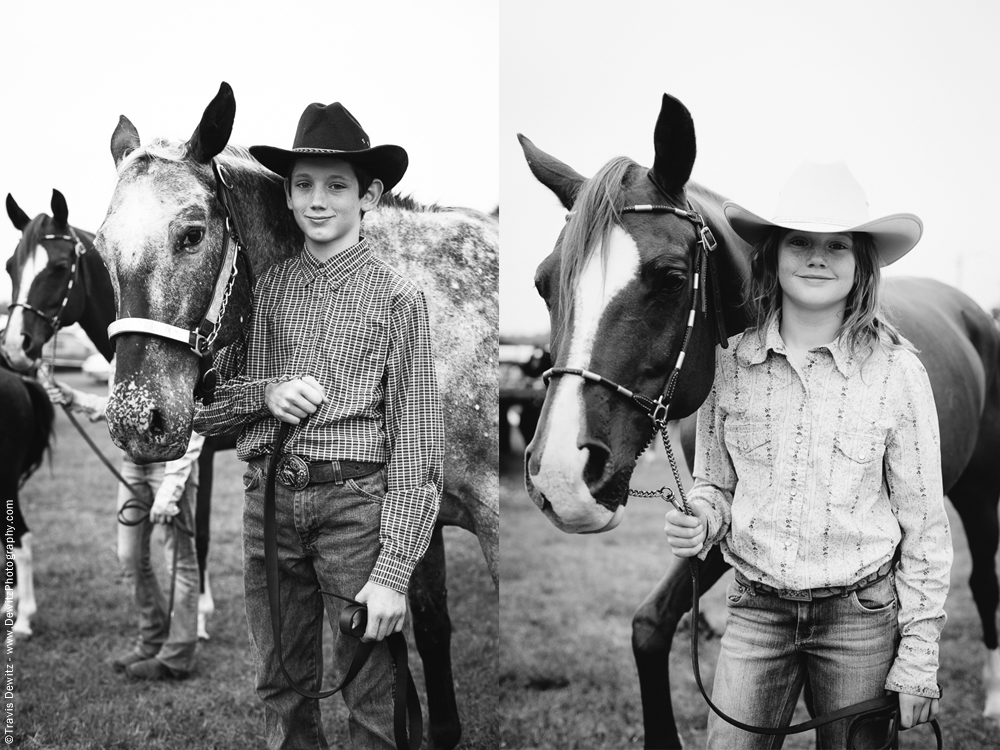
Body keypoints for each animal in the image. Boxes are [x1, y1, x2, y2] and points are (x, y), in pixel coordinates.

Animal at [4, 192, 234, 640]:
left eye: (59, 268)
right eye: (10, 267)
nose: (14, 348)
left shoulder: (201, 453)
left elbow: (197, 532)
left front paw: (198, 615)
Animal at [520, 94, 1000, 750]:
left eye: (672, 277)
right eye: (543, 283)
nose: (560, 477)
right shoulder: (721, 527)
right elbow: (650, 625)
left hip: (980, 489)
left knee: (984, 586)